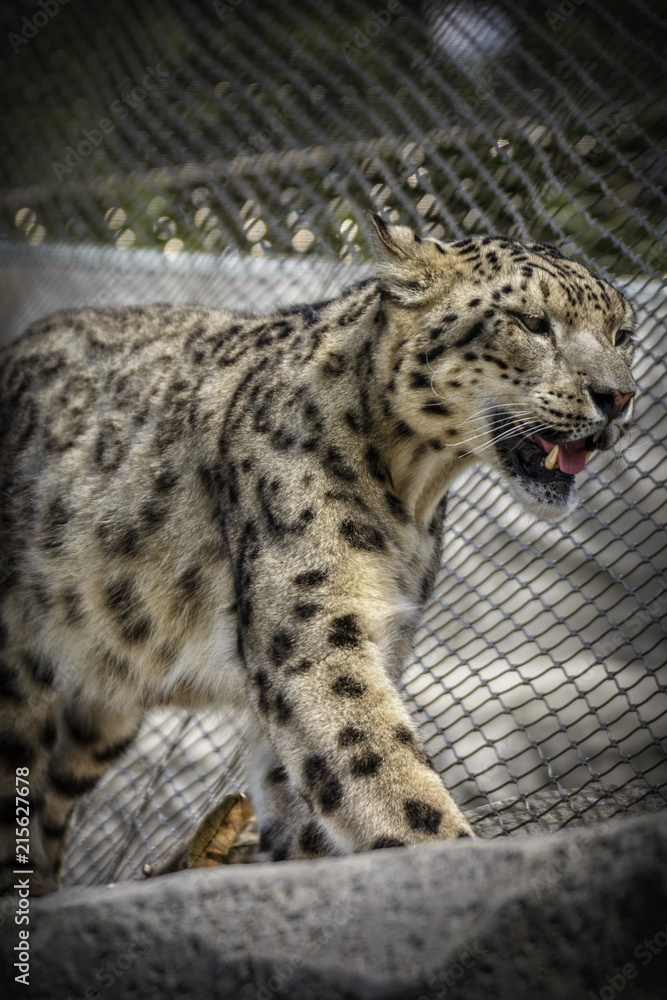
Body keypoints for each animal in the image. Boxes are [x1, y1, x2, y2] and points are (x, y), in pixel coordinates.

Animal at [0, 213, 636, 894]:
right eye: (532, 322)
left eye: (622, 334)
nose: (618, 396)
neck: (412, 495)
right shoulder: (314, 632)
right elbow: (376, 763)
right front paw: (445, 850)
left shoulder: (381, 635)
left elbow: (302, 789)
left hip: (103, 704)